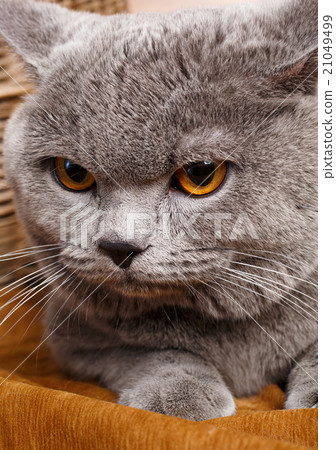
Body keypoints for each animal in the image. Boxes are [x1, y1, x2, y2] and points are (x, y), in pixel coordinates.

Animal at [0, 0, 318, 420]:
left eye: (201, 174)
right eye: (72, 173)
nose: (120, 245)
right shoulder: (72, 337)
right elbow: (147, 350)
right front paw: (179, 395)